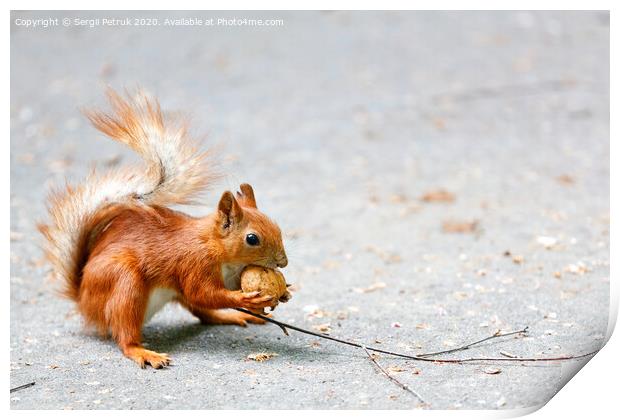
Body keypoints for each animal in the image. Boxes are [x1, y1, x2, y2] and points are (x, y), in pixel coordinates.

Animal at [38, 88, 288, 368]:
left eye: (277, 227)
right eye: (252, 238)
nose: (283, 262)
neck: (217, 248)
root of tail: (83, 300)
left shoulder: (230, 274)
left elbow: (209, 297)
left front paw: (282, 293)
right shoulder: (195, 263)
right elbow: (203, 292)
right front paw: (245, 299)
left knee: (202, 314)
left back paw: (231, 317)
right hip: (125, 282)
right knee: (127, 332)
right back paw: (142, 352)